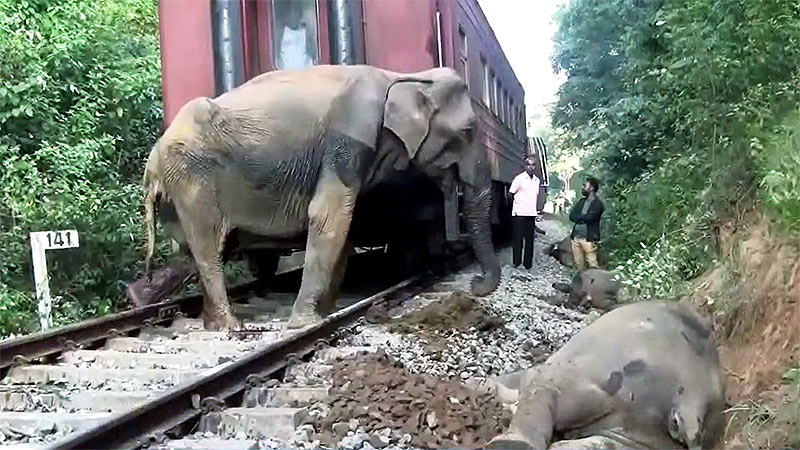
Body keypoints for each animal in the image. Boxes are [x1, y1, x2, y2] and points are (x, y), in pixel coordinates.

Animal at [141, 64, 496, 330]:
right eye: (467, 132)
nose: (475, 284)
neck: (403, 76)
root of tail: (152, 162)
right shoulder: (349, 139)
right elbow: (328, 215)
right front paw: (306, 323)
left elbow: (344, 224)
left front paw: (327, 313)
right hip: (192, 176)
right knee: (208, 246)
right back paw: (231, 326)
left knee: (198, 250)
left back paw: (208, 321)